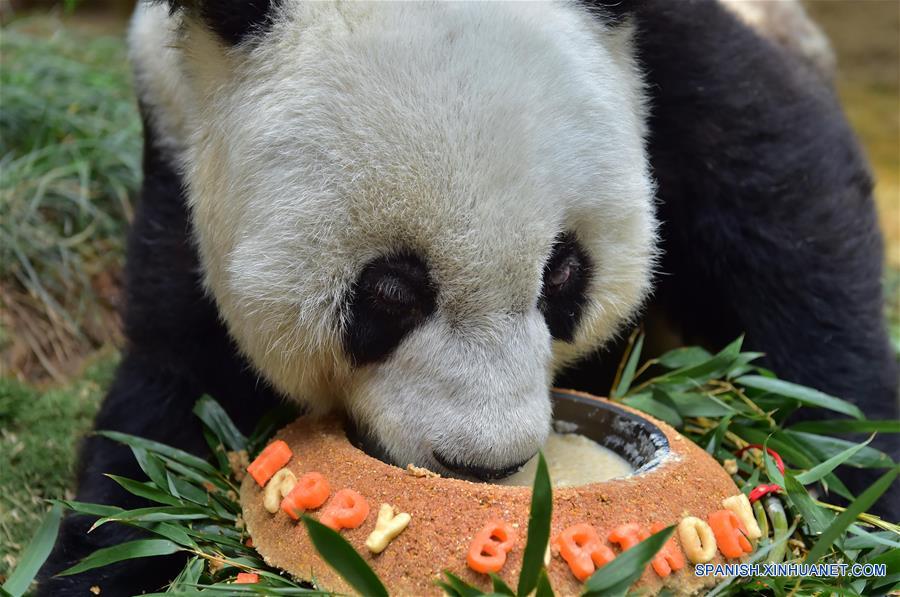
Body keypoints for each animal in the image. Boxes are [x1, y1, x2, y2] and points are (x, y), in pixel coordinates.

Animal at [38, 1, 896, 592]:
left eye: (563, 275)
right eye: (390, 291)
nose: (486, 465)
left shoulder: (671, 53)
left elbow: (783, 205)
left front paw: (860, 482)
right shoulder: (178, 133)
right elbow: (171, 386)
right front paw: (96, 555)